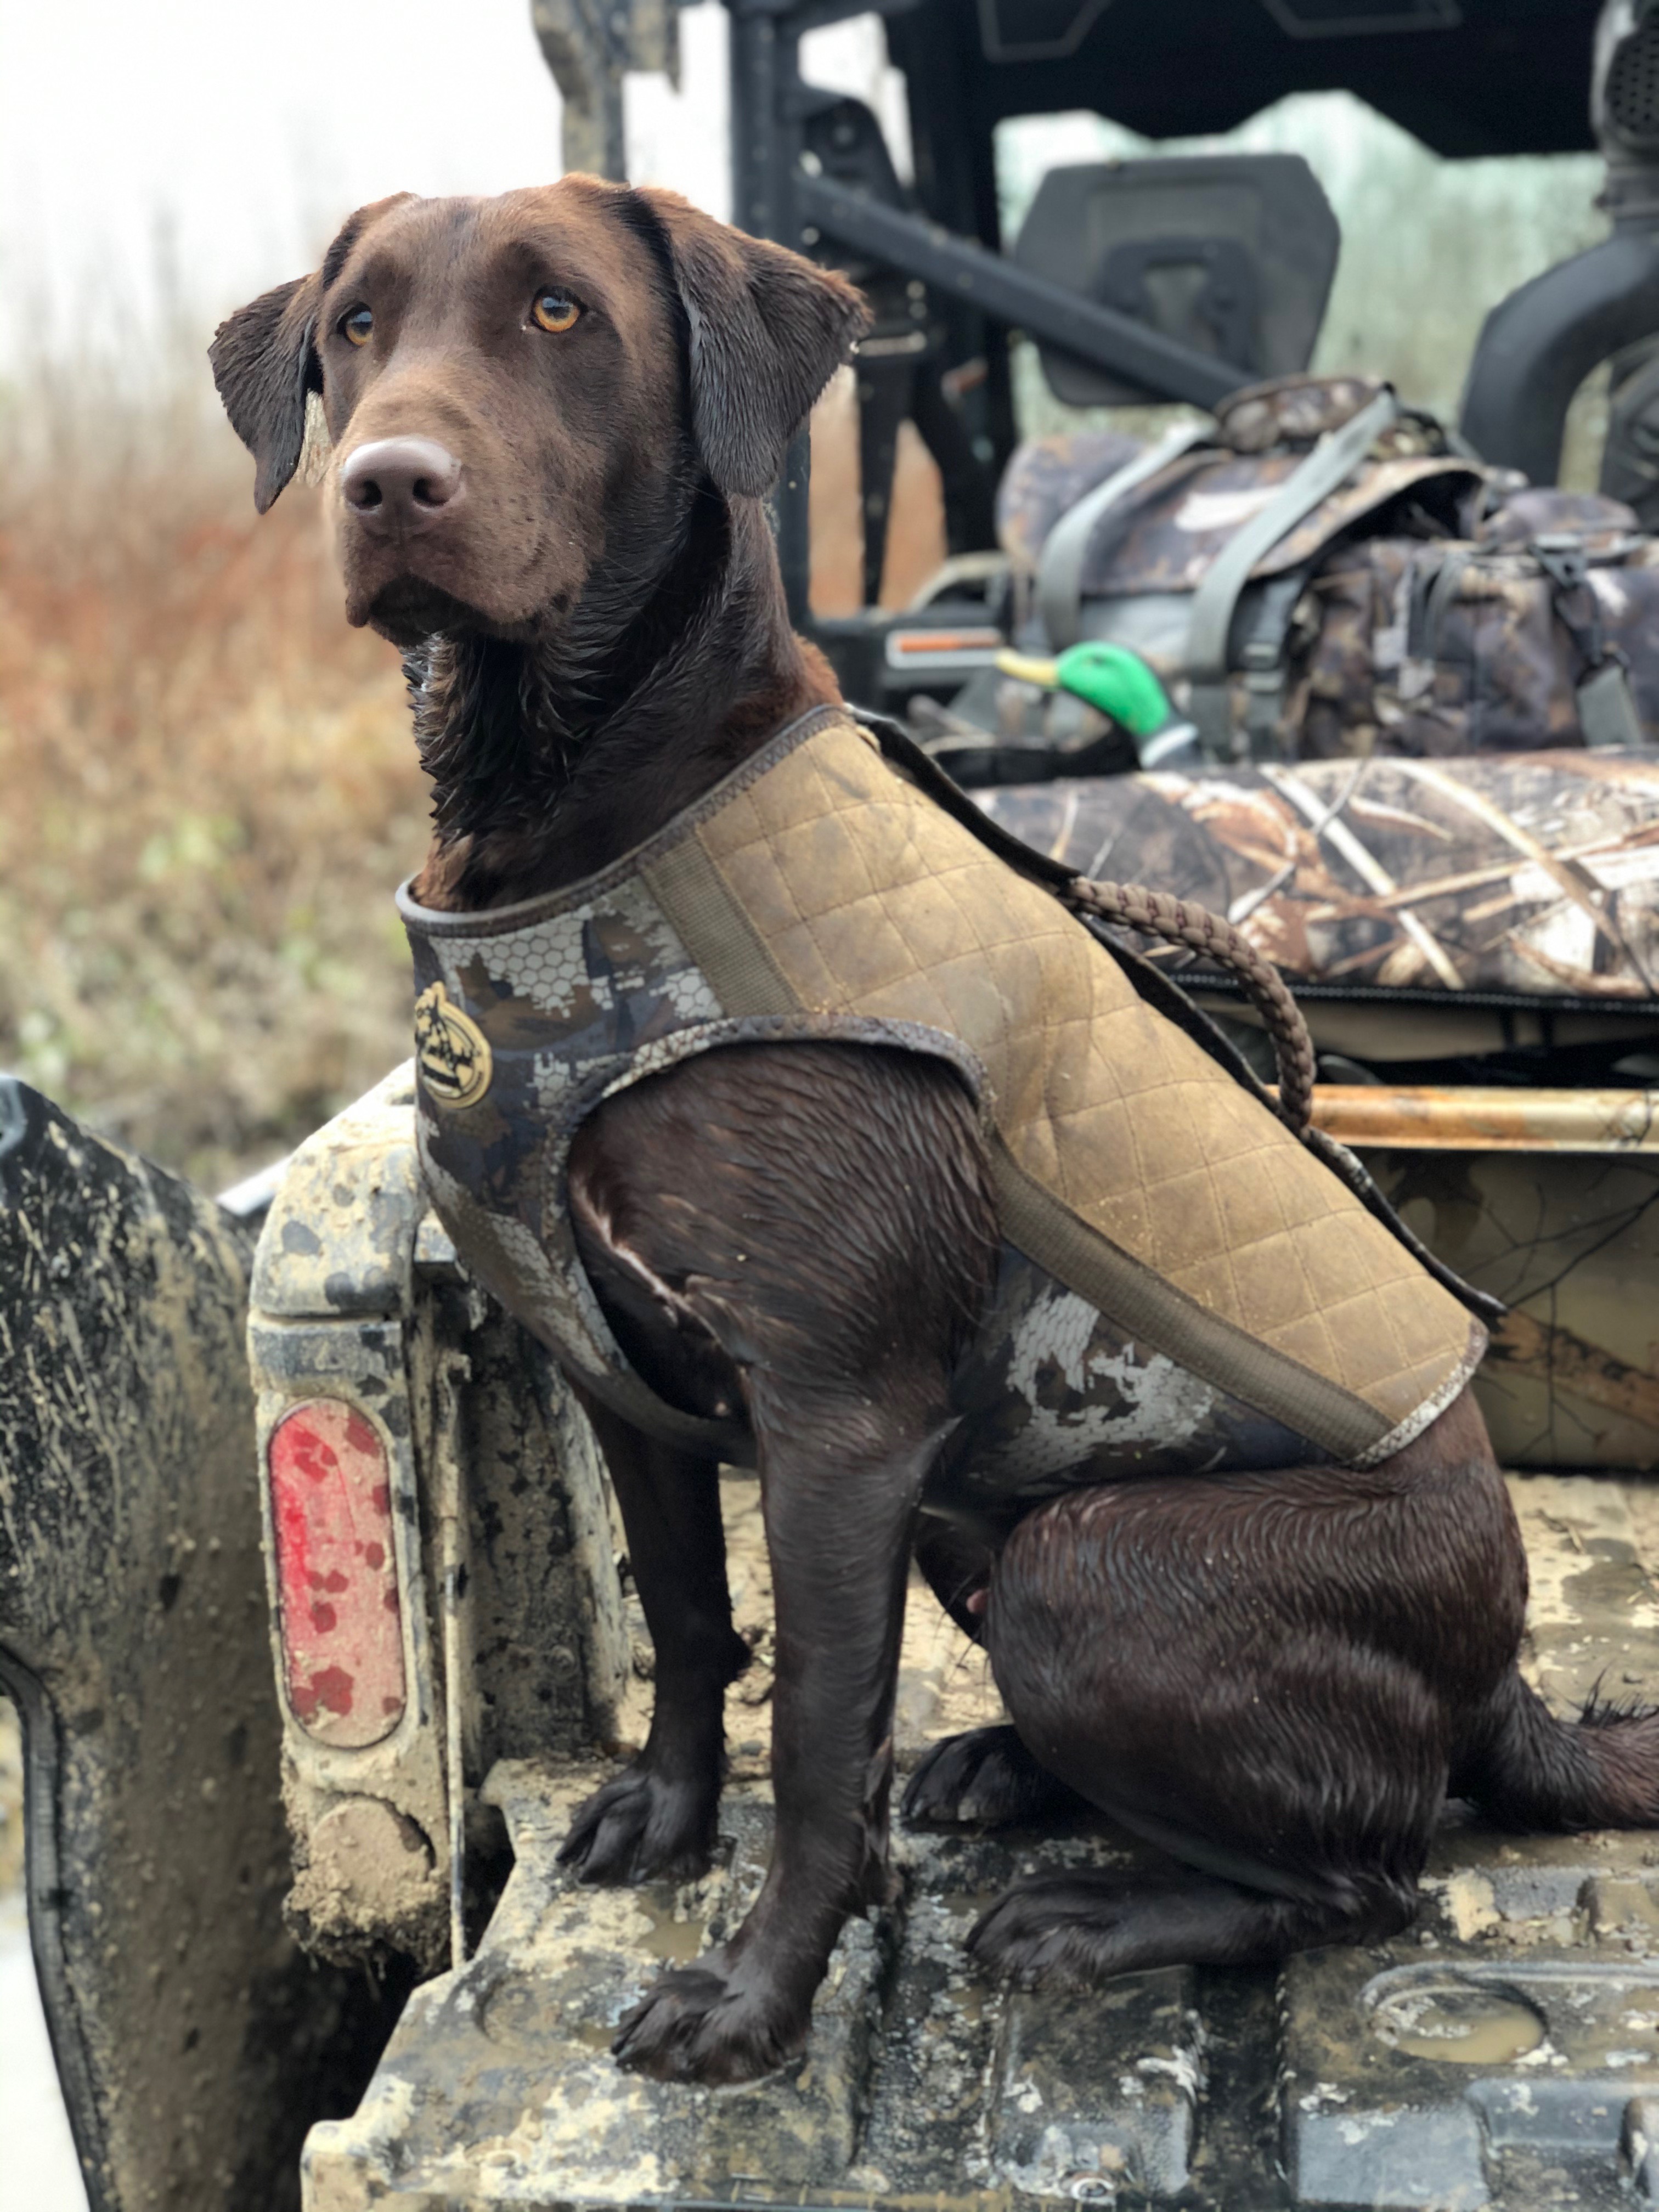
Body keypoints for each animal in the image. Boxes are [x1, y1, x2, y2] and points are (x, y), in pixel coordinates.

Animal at [215, 177, 1659, 2088]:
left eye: (558, 315)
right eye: (355, 328)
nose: (390, 482)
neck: (587, 825)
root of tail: (1507, 1679)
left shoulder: (841, 1426)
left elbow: (827, 1743)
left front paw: (753, 2002)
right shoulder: (623, 1382)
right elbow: (691, 1623)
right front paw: (668, 1821)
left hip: (1084, 1566)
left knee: (1373, 1875)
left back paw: (1098, 1912)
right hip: (984, 1518)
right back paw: (1008, 1774)